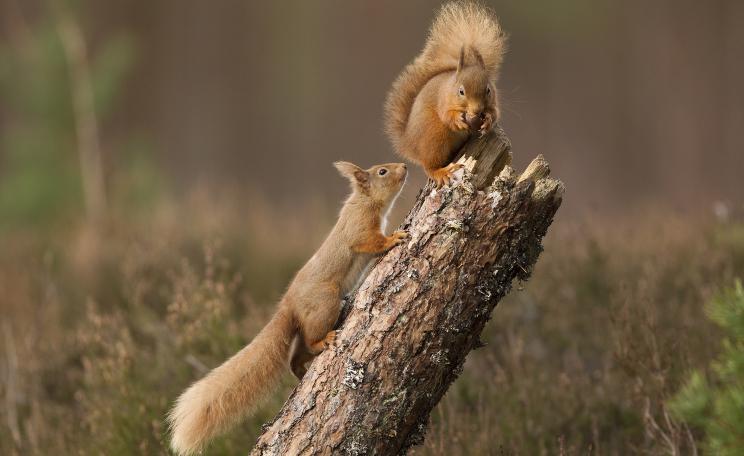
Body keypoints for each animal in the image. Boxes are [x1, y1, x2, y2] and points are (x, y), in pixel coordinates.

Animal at [168, 161, 408, 456]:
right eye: (382, 171)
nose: (405, 166)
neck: (365, 202)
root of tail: (289, 305)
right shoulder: (359, 229)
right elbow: (371, 242)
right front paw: (394, 238)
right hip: (325, 303)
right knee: (310, 340)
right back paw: (323, 342)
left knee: (296, 356)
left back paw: (302, 370)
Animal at [384, 1, 507, 187]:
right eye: (461, 91)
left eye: (488, 90)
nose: (477, 110)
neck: (450, 86)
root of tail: (410, 144)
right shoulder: (443, 101)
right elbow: (447, 115)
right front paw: (459, 121)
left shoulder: (493, 102)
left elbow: (494, 112)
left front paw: (487, 122)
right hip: (435, 137)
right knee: (429, 166)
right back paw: (441, 172)